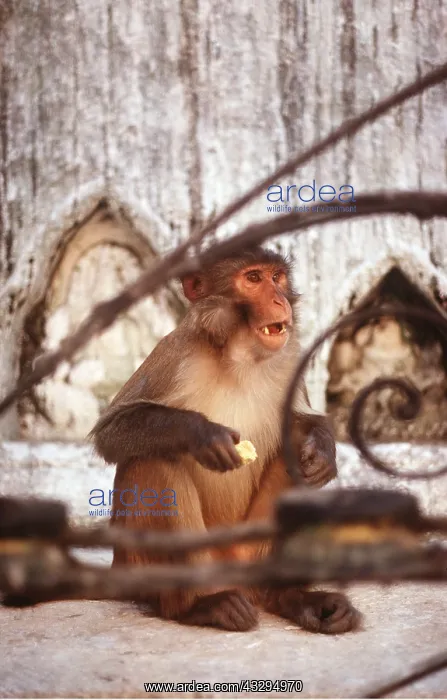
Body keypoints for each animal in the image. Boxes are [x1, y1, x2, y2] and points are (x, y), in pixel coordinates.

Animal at [89, 247, 360, 634]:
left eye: (276, 277)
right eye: (253, 279)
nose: (279, 300)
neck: (240, 357)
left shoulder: (290, 357)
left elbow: (302, 423)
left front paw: (323, 452)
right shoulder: (176, 351)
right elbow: (112, 433)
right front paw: (202, 434)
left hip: (250, 549)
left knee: (294, 452)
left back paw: (293, 597)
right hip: (143, 562)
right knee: (153, 458)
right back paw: (199, 605)